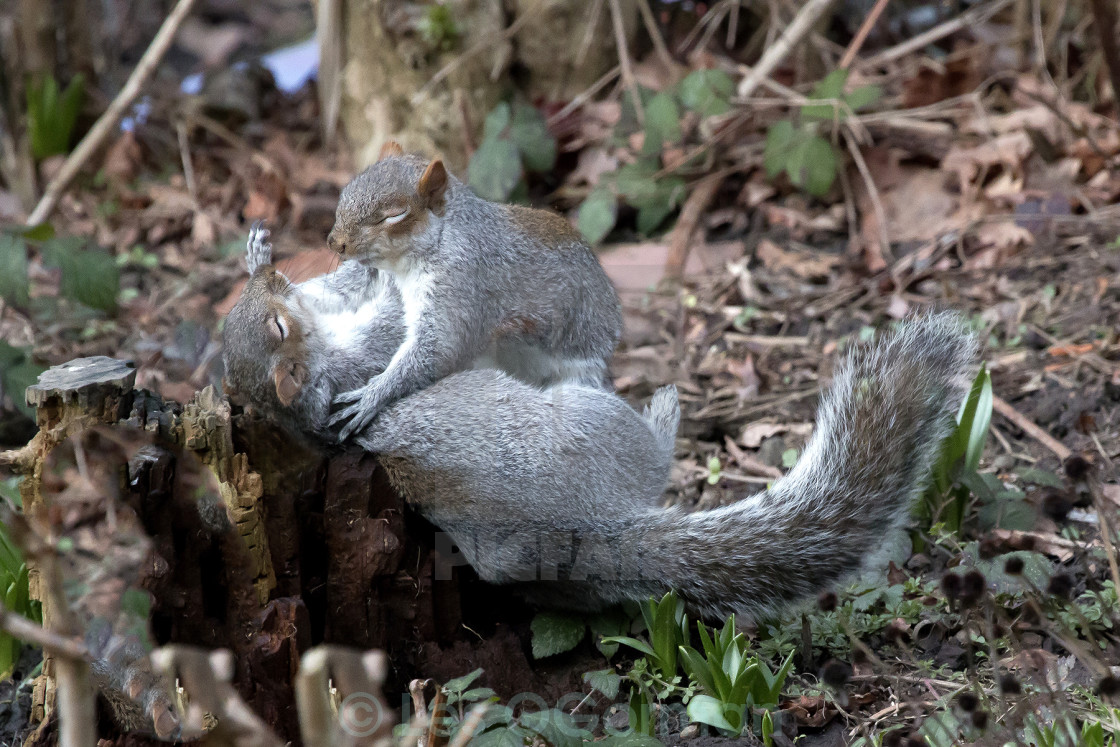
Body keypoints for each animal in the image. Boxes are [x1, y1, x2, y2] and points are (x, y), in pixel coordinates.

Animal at [222, 226, 976, 618]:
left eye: (263, 313)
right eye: (278, 330)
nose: (279, 279)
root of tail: (591, 529)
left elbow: (356, 290)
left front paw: (269, 255)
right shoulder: (367, 355)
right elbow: (396, 326)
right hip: (591, 421)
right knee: (649, 449)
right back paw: (666, 412)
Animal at [324, 141, 627, 439]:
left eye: (394, 215)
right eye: (347, 191)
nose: (335, 243)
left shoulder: (462, 283)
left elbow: (441, 348)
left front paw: (372, 396)